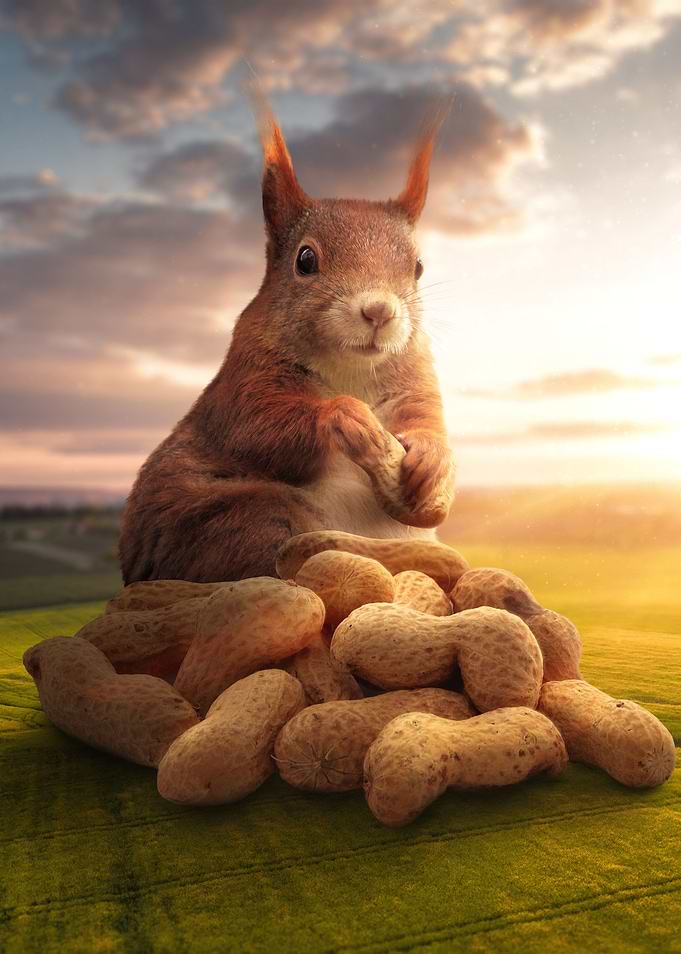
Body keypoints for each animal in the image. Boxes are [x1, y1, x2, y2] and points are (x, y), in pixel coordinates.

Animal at [118, 86, 455, 585]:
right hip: (241, 520)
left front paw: (432, 458)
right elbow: (260, 426)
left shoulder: (416, 379)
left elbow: (429, 423)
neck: (351, 369)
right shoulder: (245, 374)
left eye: (418, 267)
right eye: (305, 260)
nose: (379, 311)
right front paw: (343, 416)